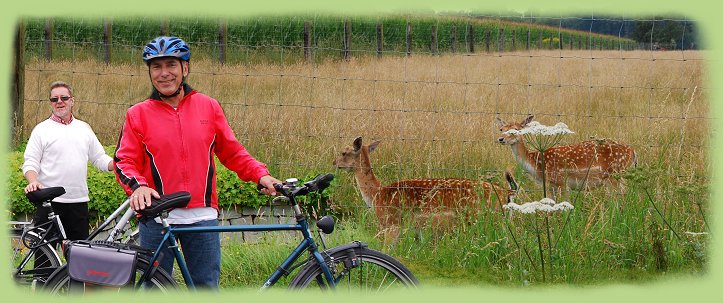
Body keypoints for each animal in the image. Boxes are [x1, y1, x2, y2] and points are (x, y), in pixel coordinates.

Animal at [330, 137, 516, 242]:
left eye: (344, 152)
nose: (334, 163)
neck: (377, 195)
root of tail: (507, 193)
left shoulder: (391, 224)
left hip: (481, 218)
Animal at [494, 114, 636, 197]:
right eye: (501, 129)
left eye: (517, 130)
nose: (501, 139)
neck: (536, 164)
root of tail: (633, 152)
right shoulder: (550, 186)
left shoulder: (561, 181)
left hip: (615, 175)